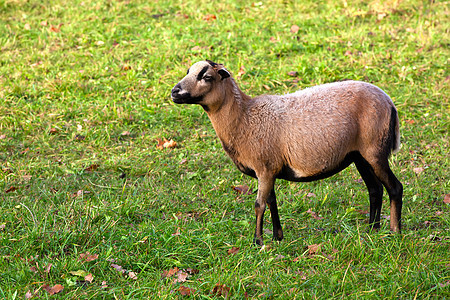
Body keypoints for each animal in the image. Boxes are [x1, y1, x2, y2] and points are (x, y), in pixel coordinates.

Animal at [171, 59, 402, 245]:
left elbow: (259, 204)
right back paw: (372, 230)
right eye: (188, 71)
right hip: (359, 156)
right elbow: (271, 202)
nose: (174, 92)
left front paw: (258, 242)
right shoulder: (269, 168)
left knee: (395, 187)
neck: (244, 117)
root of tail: (390, 103)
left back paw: (394, 232)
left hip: (375, 150)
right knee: (375, 189)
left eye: (207, 77)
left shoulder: (264, 168)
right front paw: (277, 237)